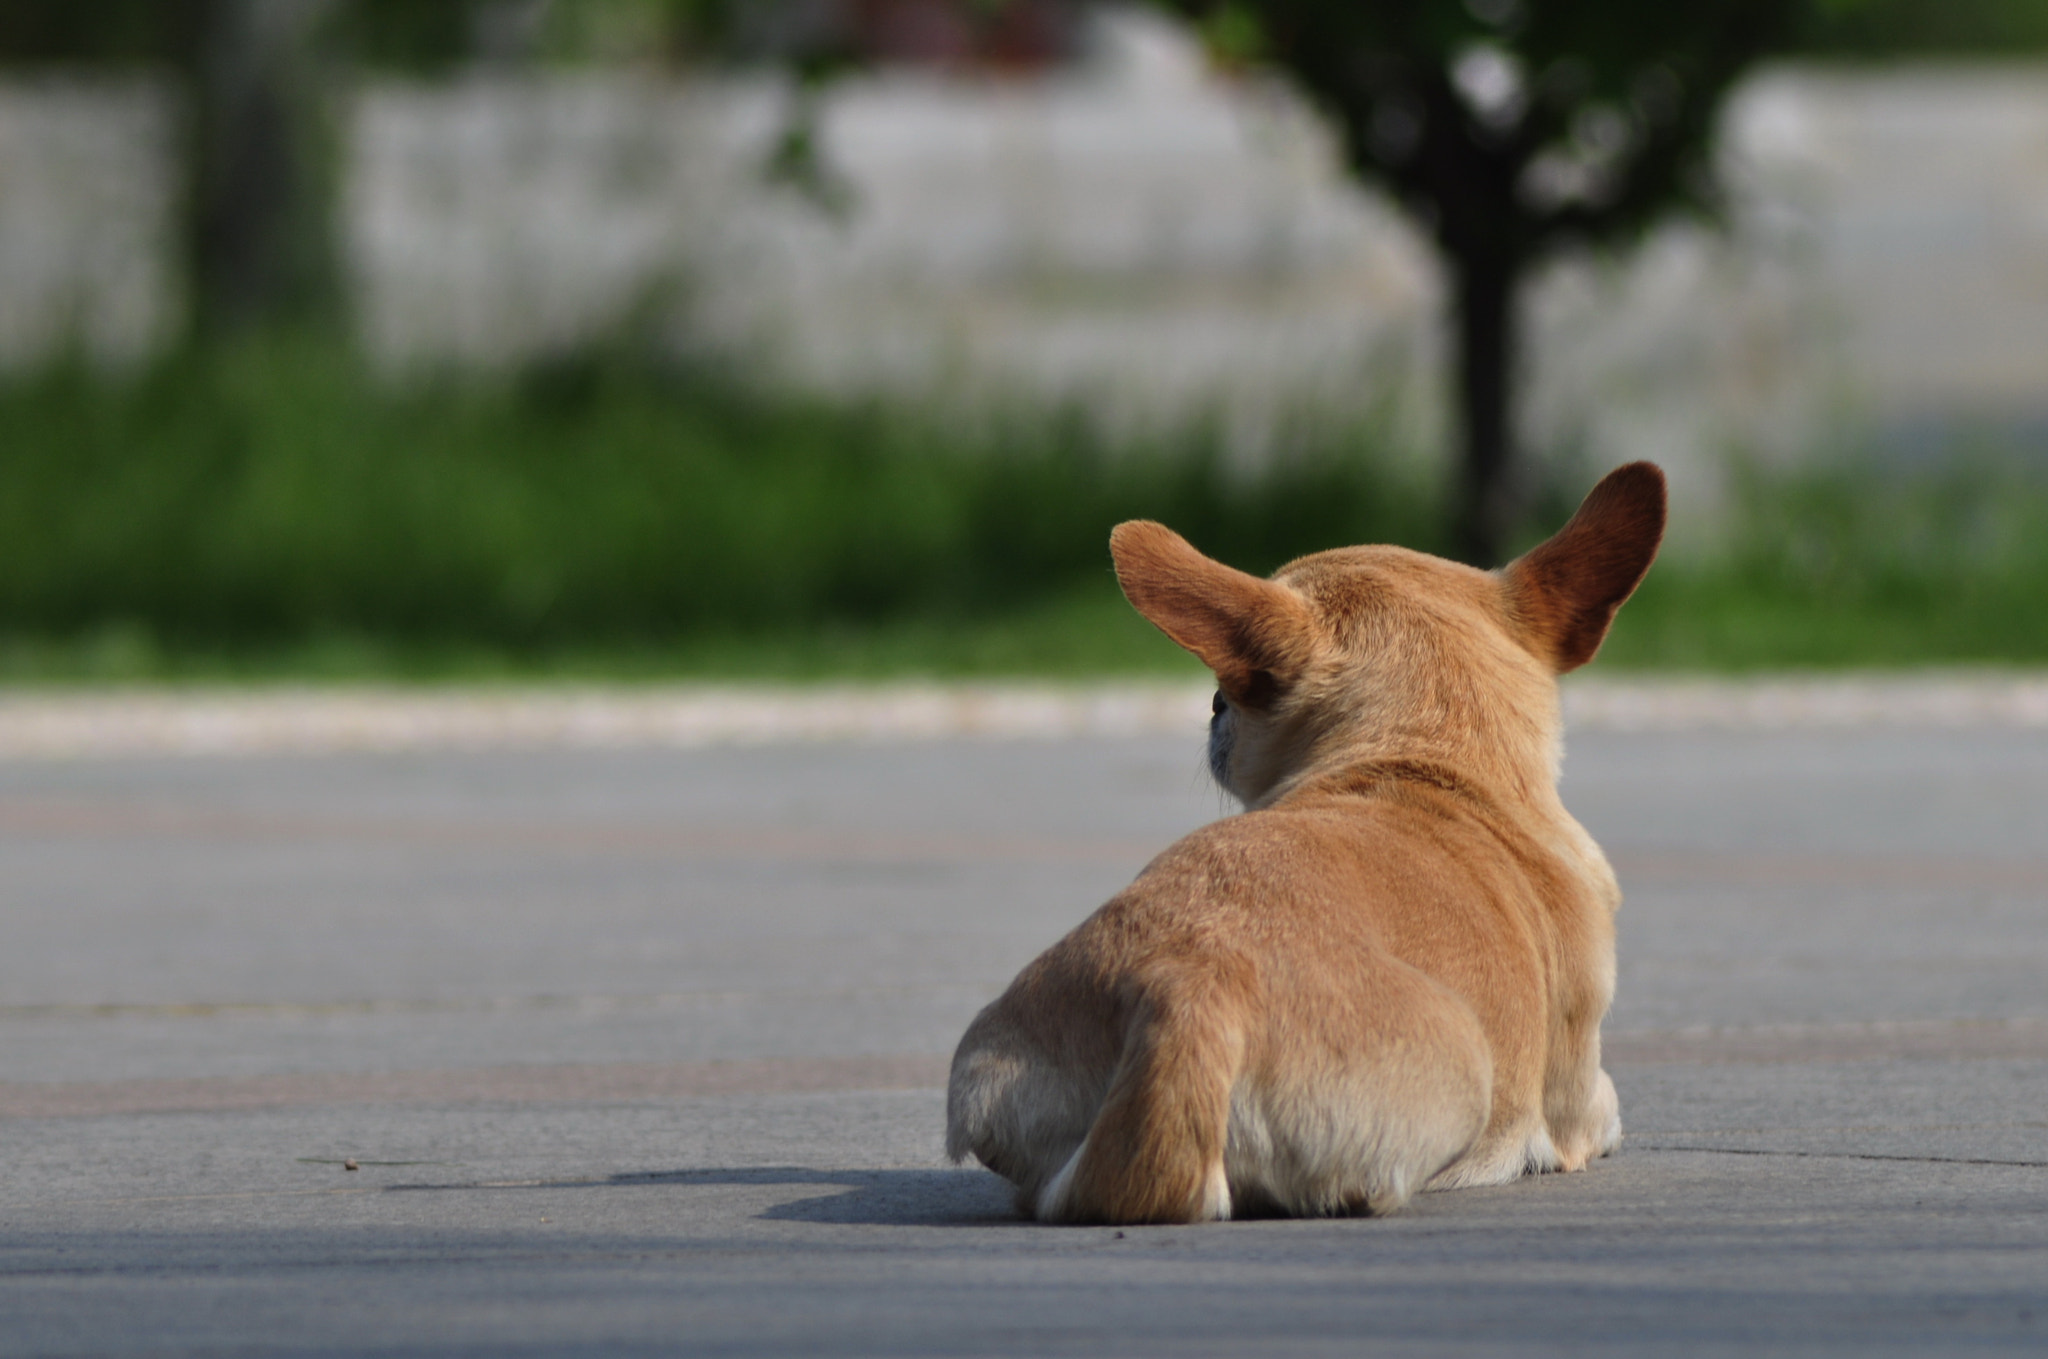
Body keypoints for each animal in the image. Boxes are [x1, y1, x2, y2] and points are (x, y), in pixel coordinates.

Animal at [942, 462, 1662, 1228]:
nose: (1215, 704)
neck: (1419, 758)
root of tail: (1187, 998)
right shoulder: (1581, 1101)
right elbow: (1606, 1106)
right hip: (1462, 1069)